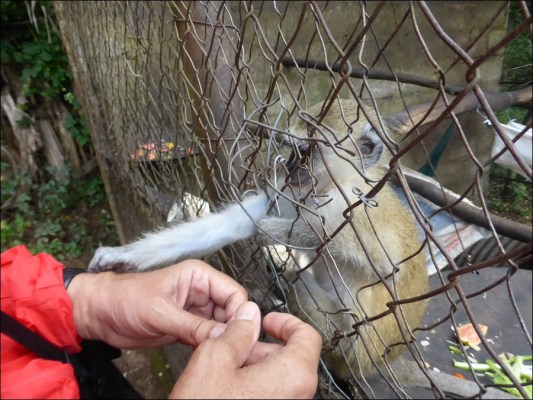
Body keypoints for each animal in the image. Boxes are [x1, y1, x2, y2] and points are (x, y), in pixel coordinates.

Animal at [89, 98, 428, 382]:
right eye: (294, 151)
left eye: (308, 153)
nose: (288, 168)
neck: (327, 189)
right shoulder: (291, 192)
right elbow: (235, 222)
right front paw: (122, 255)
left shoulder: (353, 210)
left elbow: (385, 269)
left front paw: (274, 232)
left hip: (351, 348)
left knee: (306, 290)